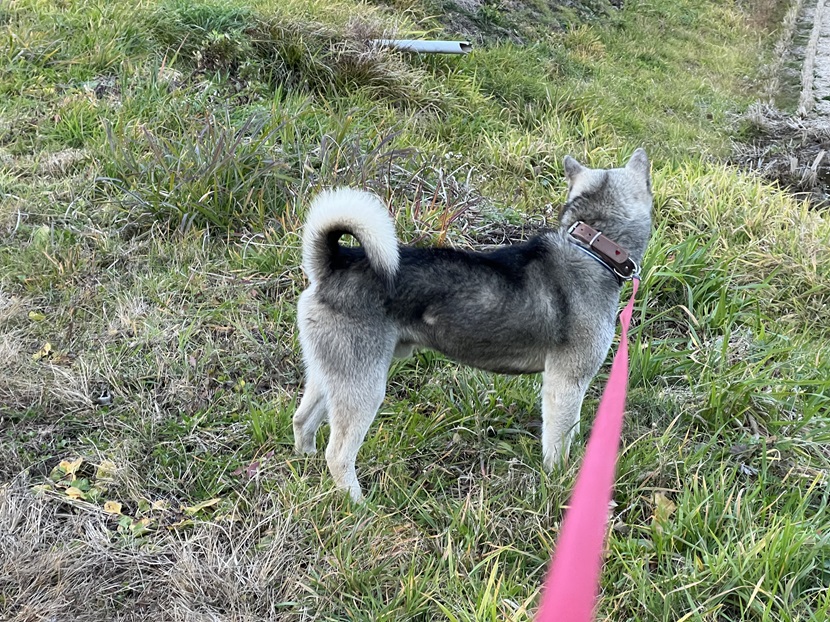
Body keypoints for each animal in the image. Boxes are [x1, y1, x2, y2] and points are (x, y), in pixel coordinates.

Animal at [296, 150, 652, 502]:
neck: (592, 247)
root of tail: (335, 262)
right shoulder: (566, 382)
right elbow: (559, 441)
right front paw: (560, 483)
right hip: (363, 384)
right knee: (338, 454)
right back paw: (358, 504)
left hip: (332, 374)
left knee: (302, 420)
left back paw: (305, 461)